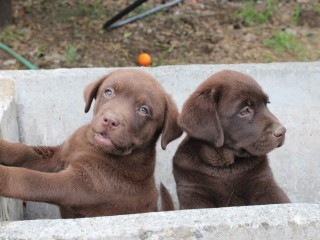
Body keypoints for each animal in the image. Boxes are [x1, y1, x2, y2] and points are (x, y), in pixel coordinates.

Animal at [0, 69, 181, 218]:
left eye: (143, 110)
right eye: (108, 92)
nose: (110, 121)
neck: (92, 145)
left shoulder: (82, 185)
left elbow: (30, 179)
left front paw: (2, 175)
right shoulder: (58, 157)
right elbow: (21, 151)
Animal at [172, 70, 290, 210]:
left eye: (266, 104)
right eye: (245, 110)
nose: (282, 131)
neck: (225, 168)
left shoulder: (264, 183)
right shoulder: (193, 192)